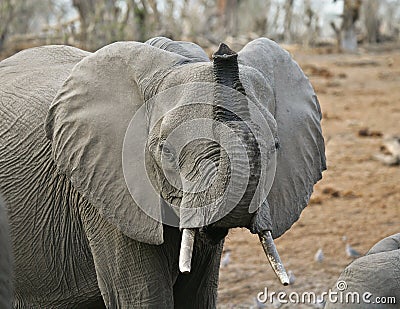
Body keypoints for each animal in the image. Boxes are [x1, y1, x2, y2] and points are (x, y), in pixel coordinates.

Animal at [0, 37, 324, 306]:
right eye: (165, 151)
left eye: (276, 146)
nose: (224, 52)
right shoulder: (104, 190)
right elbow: (142, 297)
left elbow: (197, 296)